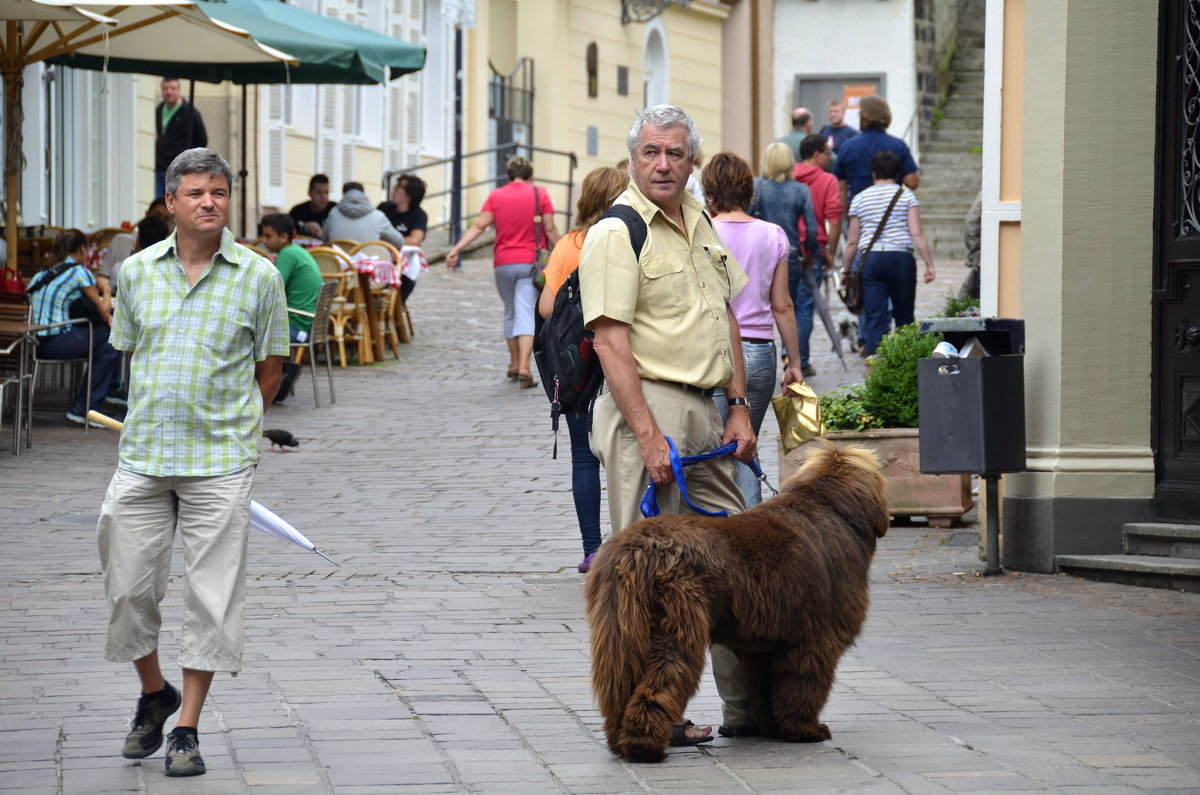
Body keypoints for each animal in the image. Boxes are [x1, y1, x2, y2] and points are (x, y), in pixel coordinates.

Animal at [585, 444, 888, 763]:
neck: (830, 507)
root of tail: (637, 550)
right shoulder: (814, 639)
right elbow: (802, 686)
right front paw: (806, 731)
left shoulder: (764, 645)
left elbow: (766, 689)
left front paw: (774, 729)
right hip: (674, 628)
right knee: (660, 682)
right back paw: (644, 747)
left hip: (622, 628)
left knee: (621, 684)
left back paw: (620, 742)